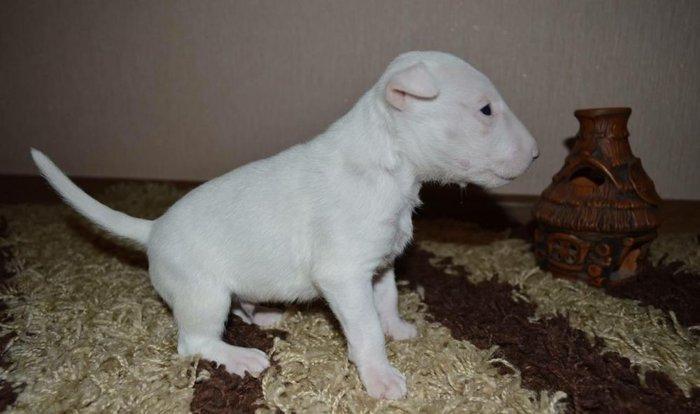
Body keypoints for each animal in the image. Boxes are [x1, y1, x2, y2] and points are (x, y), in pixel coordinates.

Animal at [31, 51, 538, 399]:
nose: (536, 154)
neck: (386, 160)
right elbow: (365, 328)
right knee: (194, 342)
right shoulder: (343, 275)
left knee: (235, 310)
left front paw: (398, 327)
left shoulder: (379, 265)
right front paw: (381, 377)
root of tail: (152, 229)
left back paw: (264, 314)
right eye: (486, 110)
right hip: (203, 293)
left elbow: (387, 299)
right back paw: (239, 355)